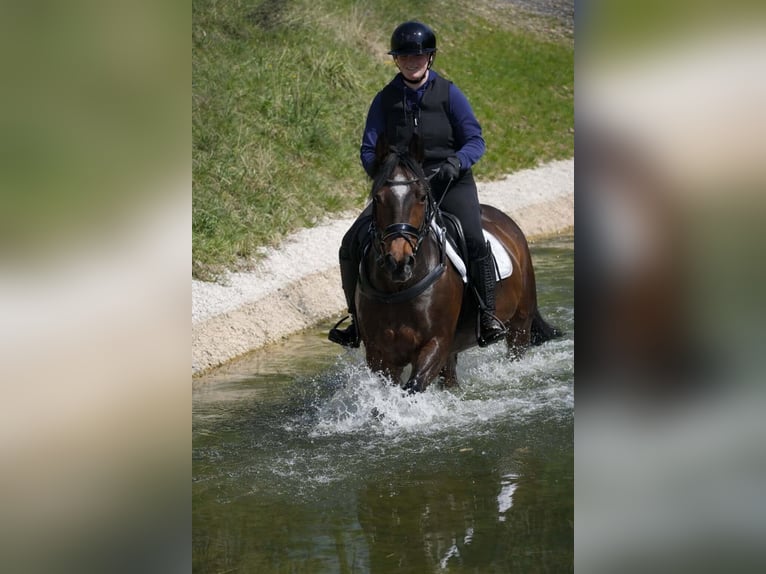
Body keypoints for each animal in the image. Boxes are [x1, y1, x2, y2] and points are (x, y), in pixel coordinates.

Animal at [354, 137, 561, 393]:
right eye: (377, 198)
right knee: (450, 378)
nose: (399, 262)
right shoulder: (380, 355)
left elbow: (413, 386)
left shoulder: (436, 343)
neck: (398, 288)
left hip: (520, 324)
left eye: (421, 196)